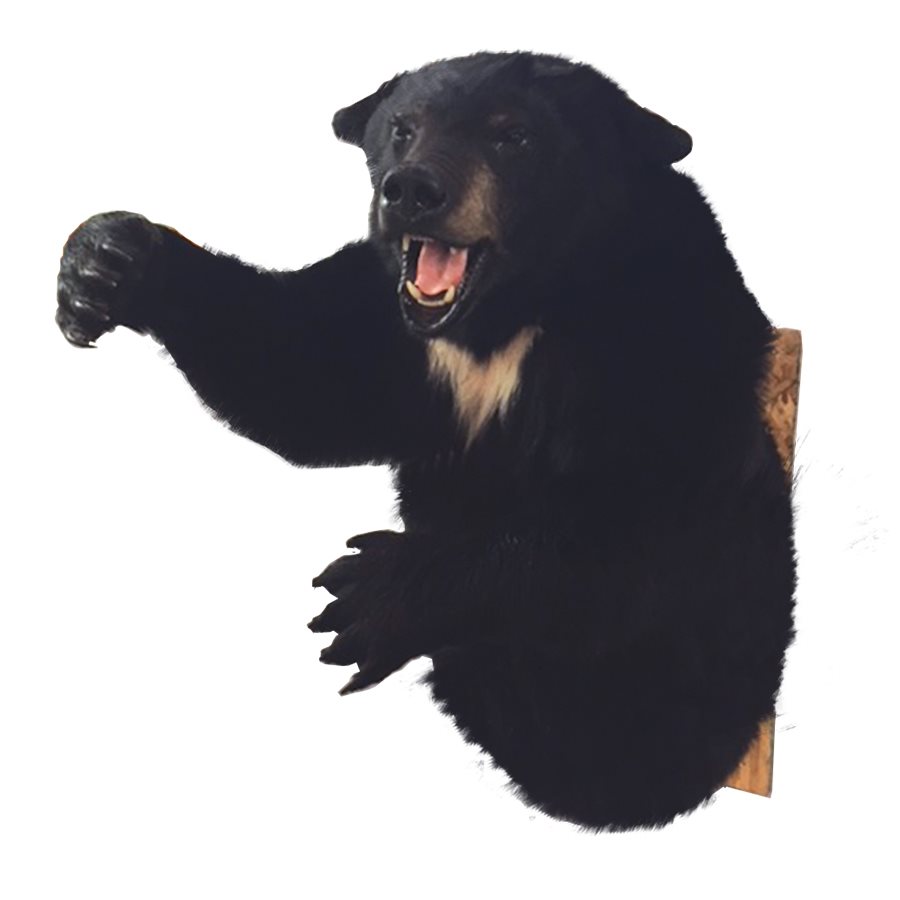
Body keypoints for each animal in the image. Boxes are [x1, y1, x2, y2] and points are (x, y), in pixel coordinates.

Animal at [56, 51, 796, 831]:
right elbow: (305, 370)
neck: (504, 315)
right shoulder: (398, 330)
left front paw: (371, 593)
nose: (412, 190)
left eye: (514, 134)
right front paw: (107, 259)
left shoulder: (659, 321)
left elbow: (637, 506)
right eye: (401, 128)